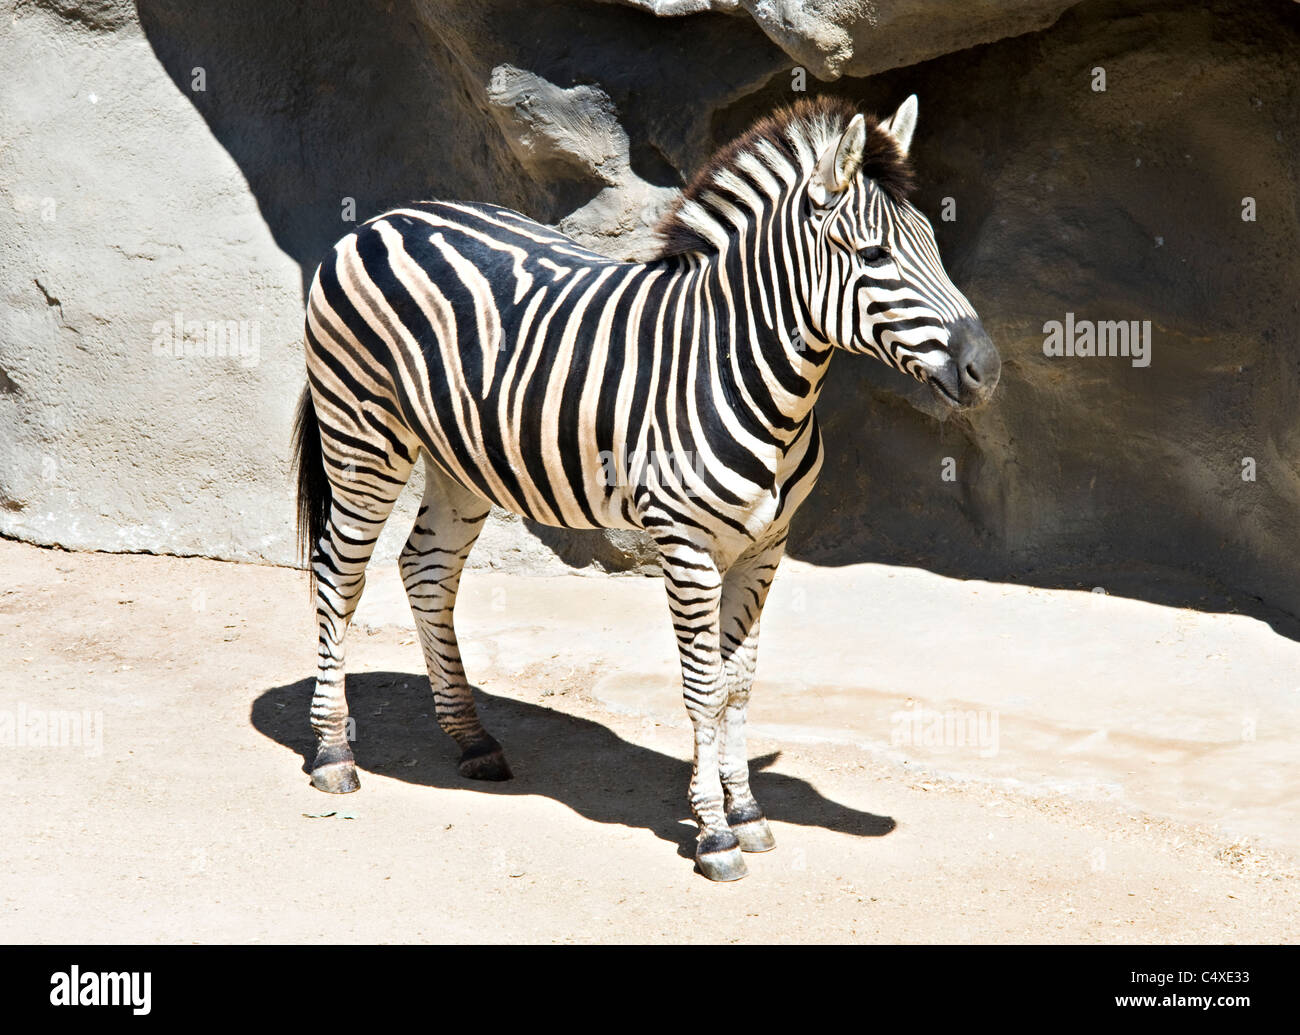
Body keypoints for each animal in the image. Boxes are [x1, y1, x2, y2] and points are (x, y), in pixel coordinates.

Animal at [297, 94, 1003, 878]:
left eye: (934, 246)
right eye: (875, 255)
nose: (987, 369)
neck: (744, 370)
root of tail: (383, 218)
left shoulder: (766, 546)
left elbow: (738, 682)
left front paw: (747, 811)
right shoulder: (686, 546)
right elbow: (702, 688)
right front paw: (714, 832)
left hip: (462, 463)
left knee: (426, 570)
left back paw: (472, 740)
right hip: (363, 434)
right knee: (338, 572)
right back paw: (333, 751)